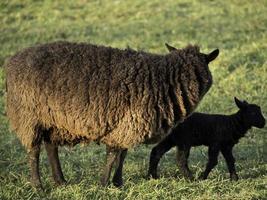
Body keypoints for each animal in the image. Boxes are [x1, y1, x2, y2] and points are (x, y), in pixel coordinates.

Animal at [5, 41, 220, 188]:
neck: (164, 78)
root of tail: (12, 62)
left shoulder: (127, 125)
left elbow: (122, 155)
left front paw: (118, 182)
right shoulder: (125, 124)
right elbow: (112, 155)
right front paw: (103, 183)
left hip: (53, 120)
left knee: (51, 147)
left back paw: (60, 181)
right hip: (29, 117)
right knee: (33, 152)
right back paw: (39, 186)